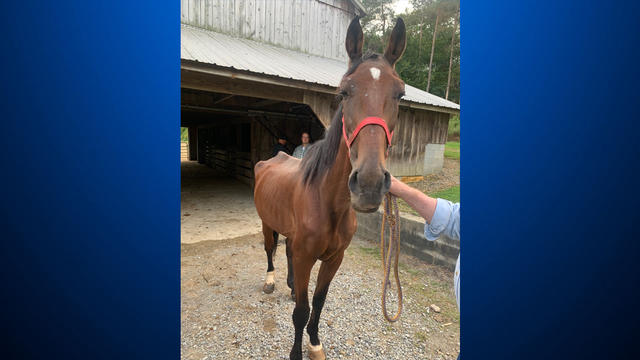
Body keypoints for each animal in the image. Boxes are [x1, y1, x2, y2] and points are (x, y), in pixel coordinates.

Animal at [254, 17, 408, 360]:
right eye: (344, 91)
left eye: (400, 94)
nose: (369, 184)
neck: (327, 200)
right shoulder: (306, 256)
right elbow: (301, 310)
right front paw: (297, 352)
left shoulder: (334, 258)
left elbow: (318, 302)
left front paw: (315, 344)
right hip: (267, 222)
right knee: (271, 249)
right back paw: (271, 280)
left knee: (286, 251)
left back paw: (289, 283)